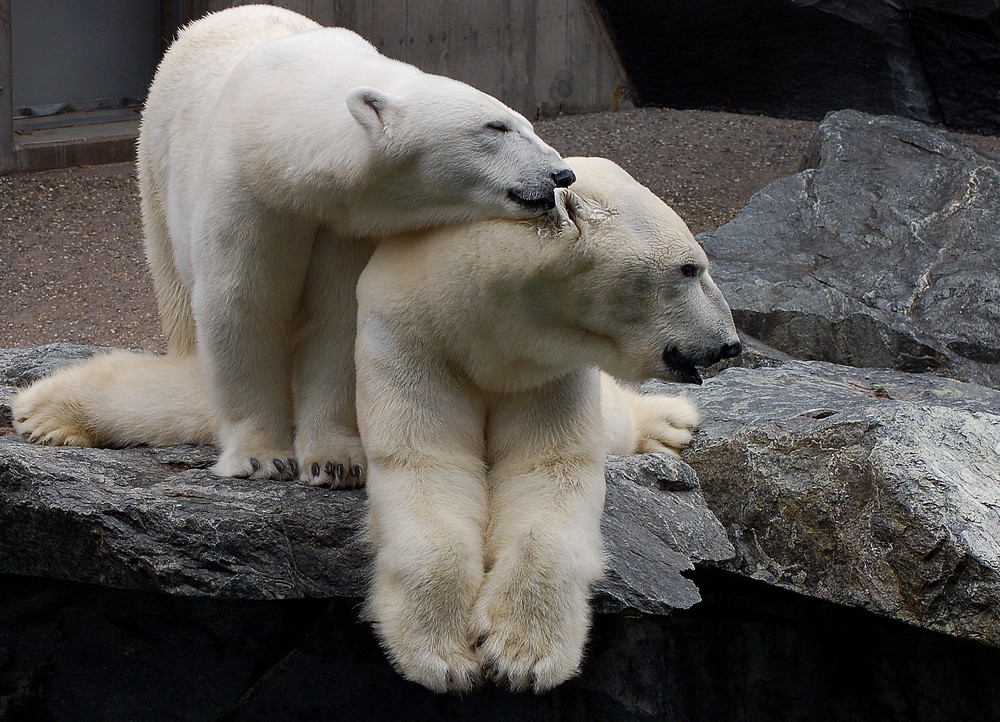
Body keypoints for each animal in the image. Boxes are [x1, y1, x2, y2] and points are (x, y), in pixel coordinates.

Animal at [9, 159, 744, 692]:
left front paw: (522, 654)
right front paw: (444, 654)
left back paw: (669, 423)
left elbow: (549, 474)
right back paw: (47, 412)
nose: (731, 343)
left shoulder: (542, 366)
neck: (487, 322)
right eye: (690, 267)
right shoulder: (407, 332)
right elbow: (426, 468)